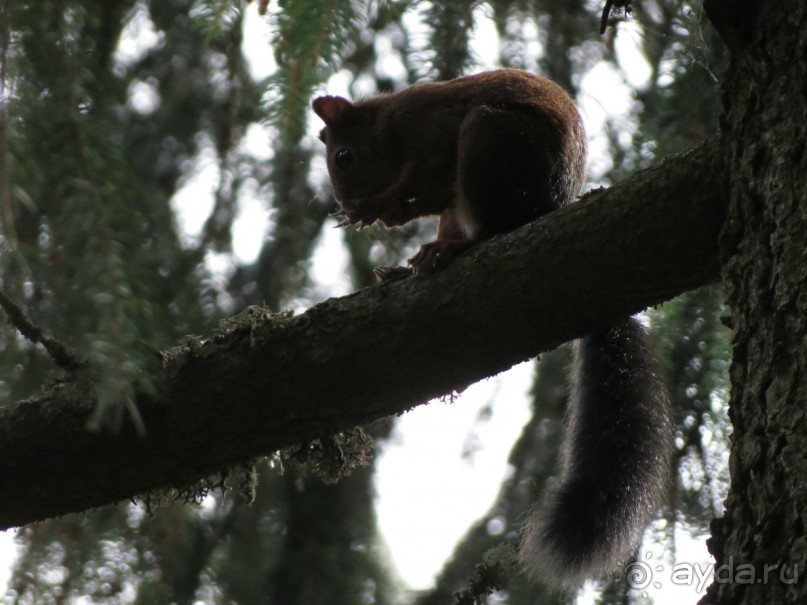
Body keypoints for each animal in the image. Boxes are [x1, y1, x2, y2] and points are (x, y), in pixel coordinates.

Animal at [312, 68, 672, 588]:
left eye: (343, 156)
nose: (345, 203)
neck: (386, 127)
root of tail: (549, 209)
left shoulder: (429, 129)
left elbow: (427, 169)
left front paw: (380, 204)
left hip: (491, 140)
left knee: (491, 230)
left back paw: (450, 250)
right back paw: (413, 265)